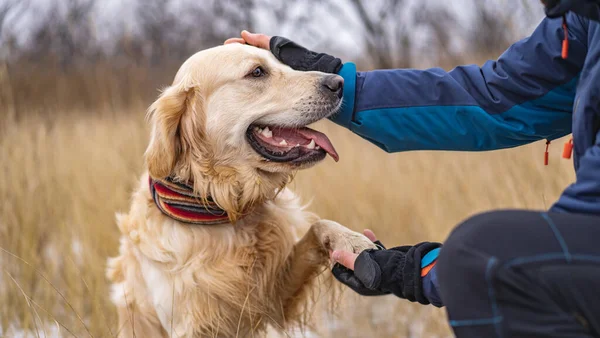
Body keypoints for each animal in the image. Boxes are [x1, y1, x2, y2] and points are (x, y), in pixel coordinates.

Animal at [106, 43, 378, 336]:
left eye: (283, 63)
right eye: (257, 72)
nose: (339, 83)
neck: (225, 206)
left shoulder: (274, 298)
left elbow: (319, 227)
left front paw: (352, 242)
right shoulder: (189, 324)